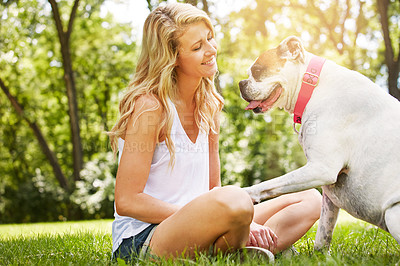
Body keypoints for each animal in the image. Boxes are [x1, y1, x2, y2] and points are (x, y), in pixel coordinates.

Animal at [239, 35, 398, 251]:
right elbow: (323, 233)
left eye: (256, 71)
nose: (241, 83)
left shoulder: (321, 169)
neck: (313, 86)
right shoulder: (329, 196)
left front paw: (242, 194)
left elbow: (268, 184)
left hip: (393, 213)